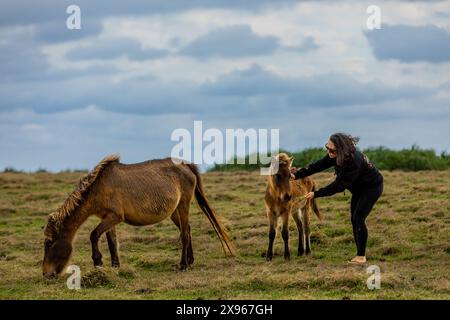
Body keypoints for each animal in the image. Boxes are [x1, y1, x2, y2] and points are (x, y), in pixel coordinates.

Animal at [42, 155, 236, 278]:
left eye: (50, 243)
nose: (46, 274)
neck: (98, 188)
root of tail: (185, 165)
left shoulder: (114, 217)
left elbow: (94, 235)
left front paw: (98, 262)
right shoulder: (107, 218)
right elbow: (111, 242)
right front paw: (115, 267)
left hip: (183, 206)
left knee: (184, 234)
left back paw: (182, 265)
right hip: (174, 212)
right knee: (187, 229)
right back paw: (190, 261)